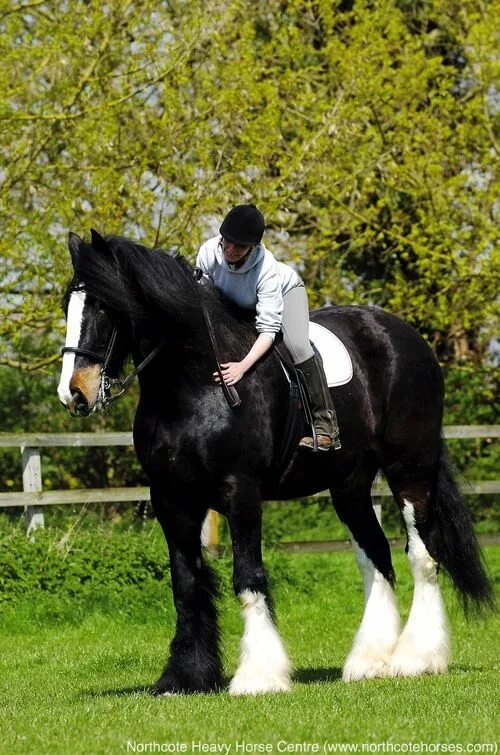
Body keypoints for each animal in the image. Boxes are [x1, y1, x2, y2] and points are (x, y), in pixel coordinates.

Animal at [56, 232, 490, 696]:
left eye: (105, 306)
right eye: (69, 304)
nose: (74, 393)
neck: (193, 382)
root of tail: (405, 335)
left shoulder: (241, 493)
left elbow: (247, 578)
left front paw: (259, 675)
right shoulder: (172, 500)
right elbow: (186, 585)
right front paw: (185, 676)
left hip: (410, 468)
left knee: (423, 554)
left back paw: (416, 658)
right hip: (350, 485)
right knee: (376, 556)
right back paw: (369, 662)